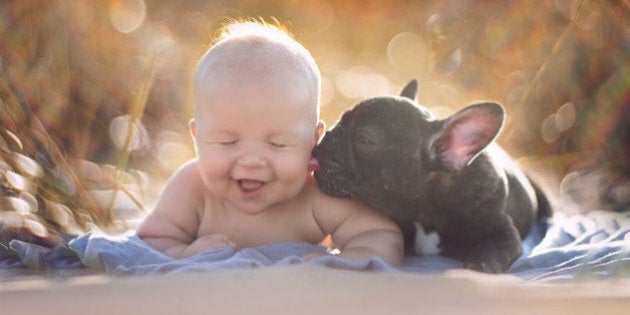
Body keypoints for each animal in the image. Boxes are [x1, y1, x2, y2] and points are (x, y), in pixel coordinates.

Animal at [314, 79, 552, 274]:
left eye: (364, 140)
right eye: (340, 121)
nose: (326, 136)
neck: (425, 212)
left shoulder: (503, 232)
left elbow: (492, 250)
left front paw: (478, 267)